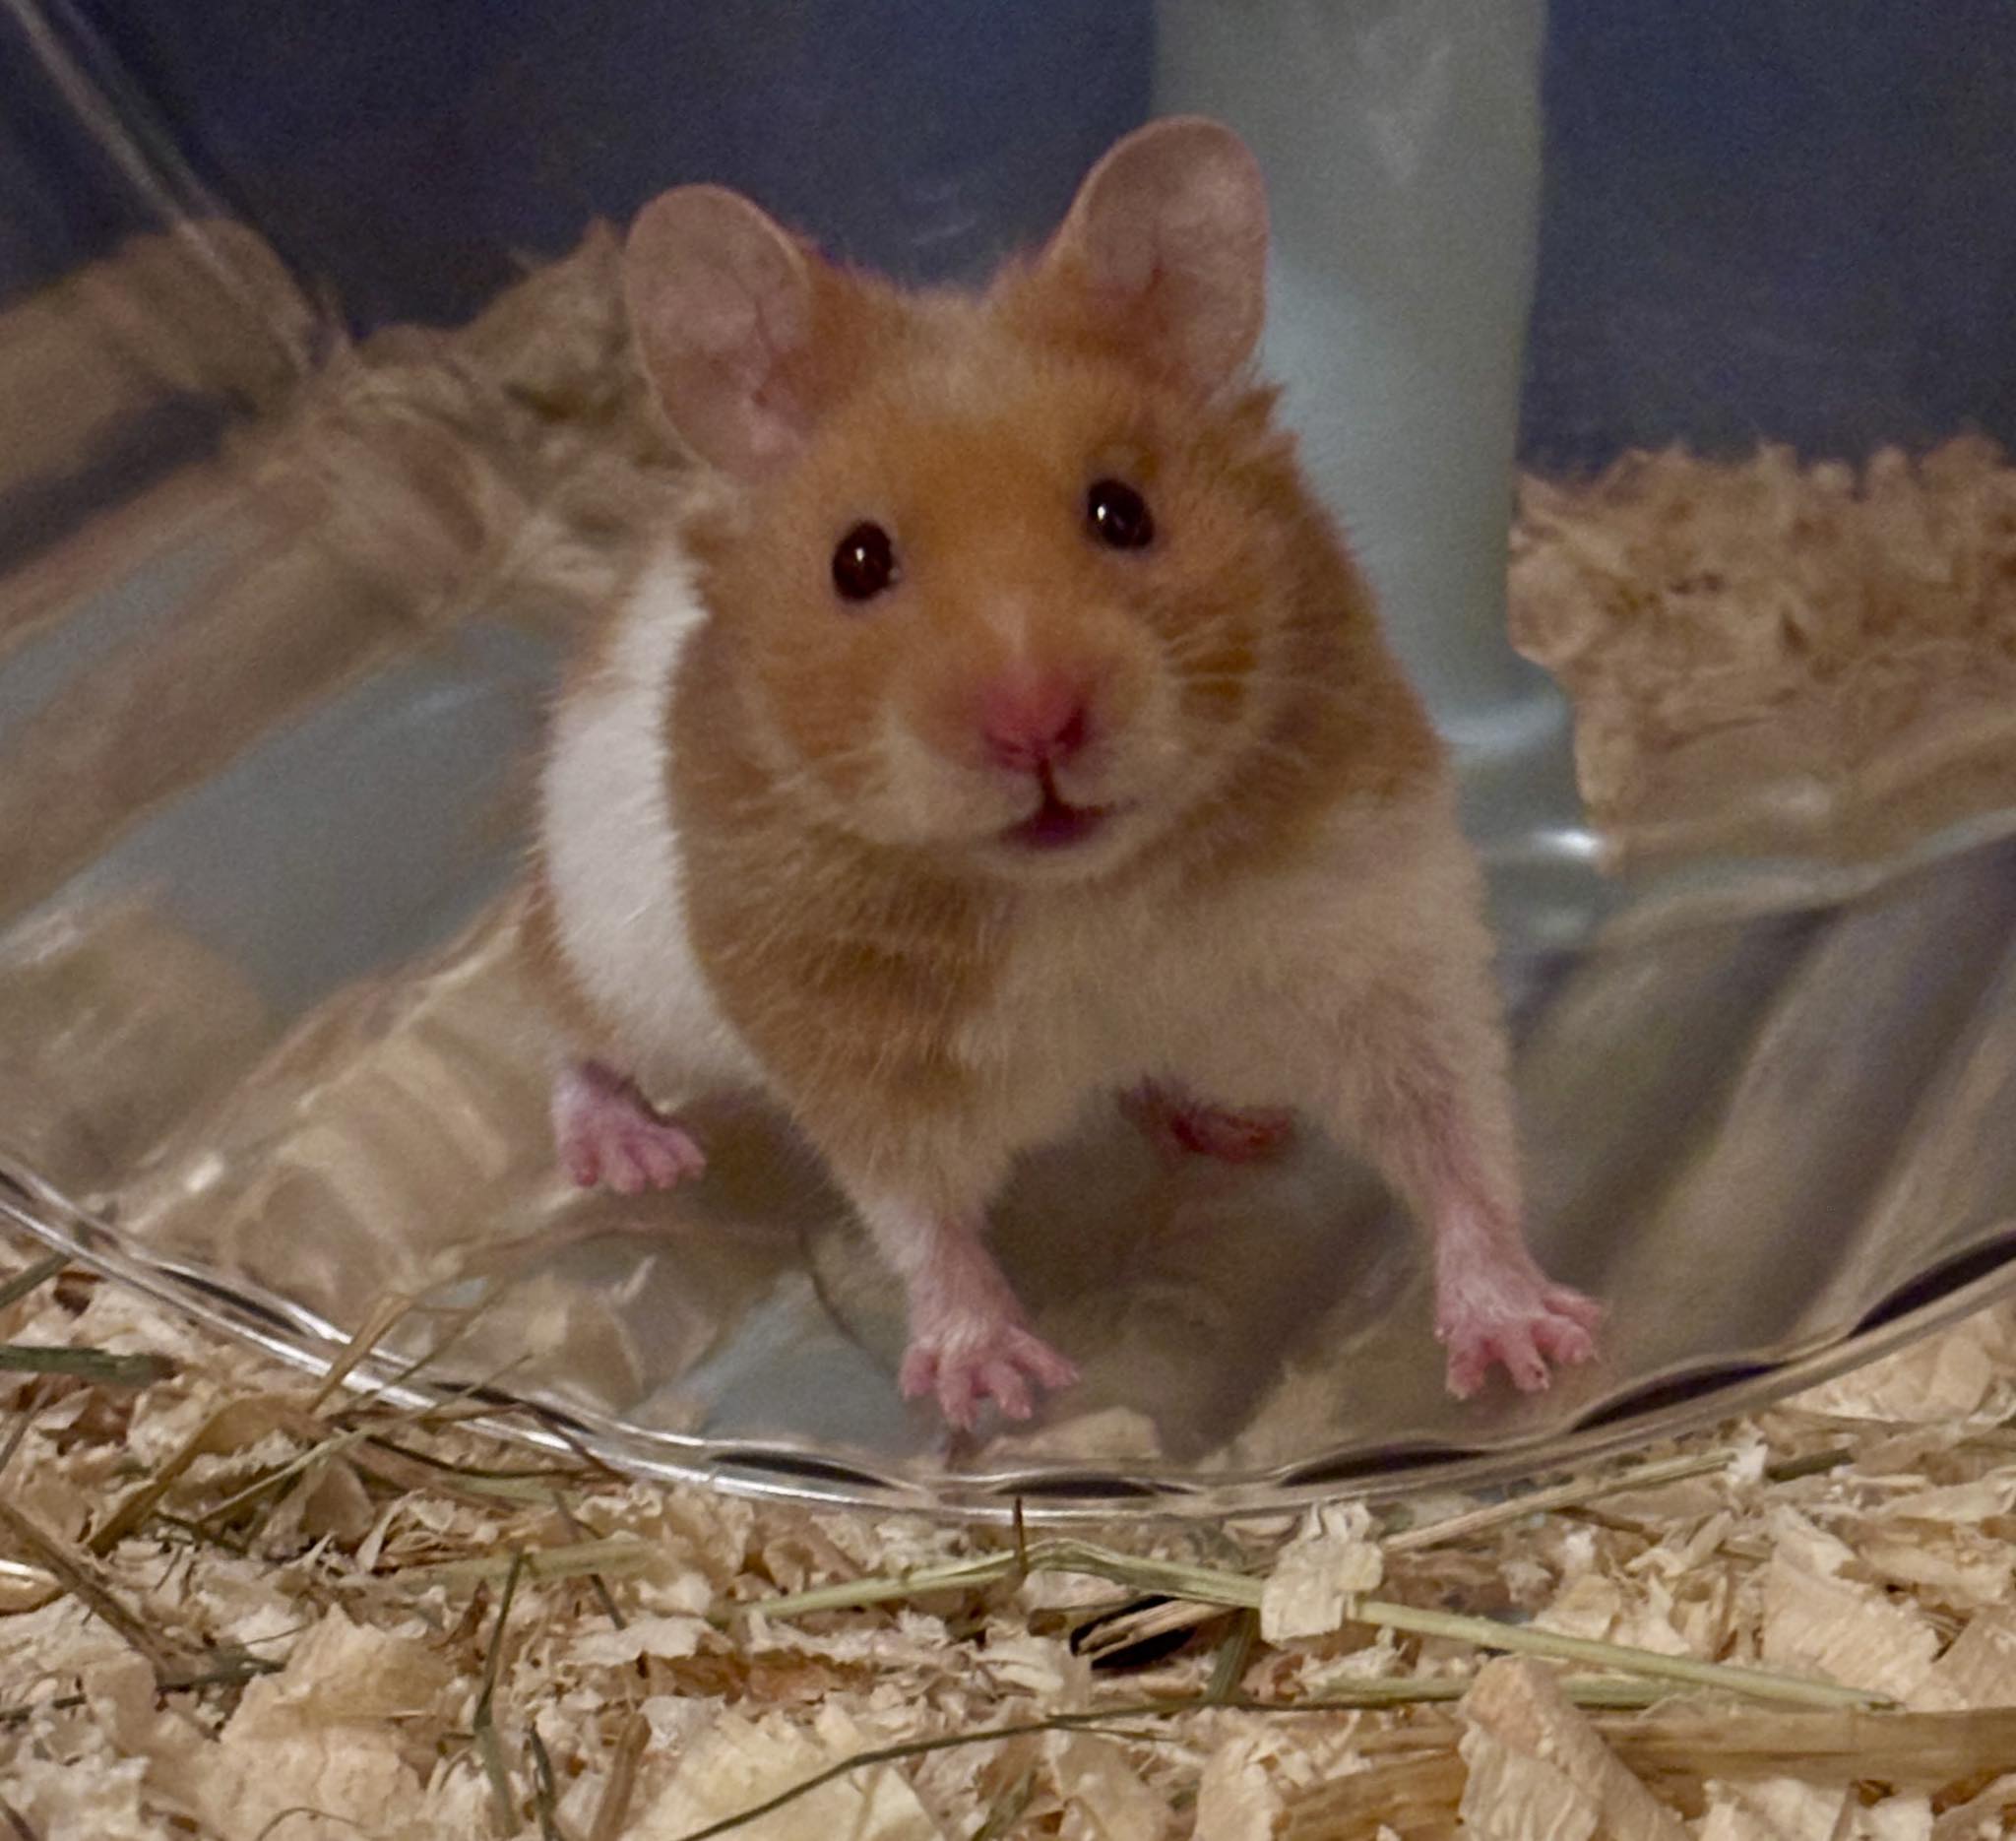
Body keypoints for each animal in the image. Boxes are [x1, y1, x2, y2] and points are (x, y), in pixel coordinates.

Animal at [527, 117, 1600, 1429]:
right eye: (856, 560)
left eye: (1120, 511)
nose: (1033, 720)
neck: (1083, 890)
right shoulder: (855, 1053)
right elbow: (919, 1218)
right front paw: (992, 1384)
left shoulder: (1384, 940)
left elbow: (1456, 1143)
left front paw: (1529, 1345)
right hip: (611, 951)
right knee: (563, 1032)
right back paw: (635, 1155)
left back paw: (1225, 1121)